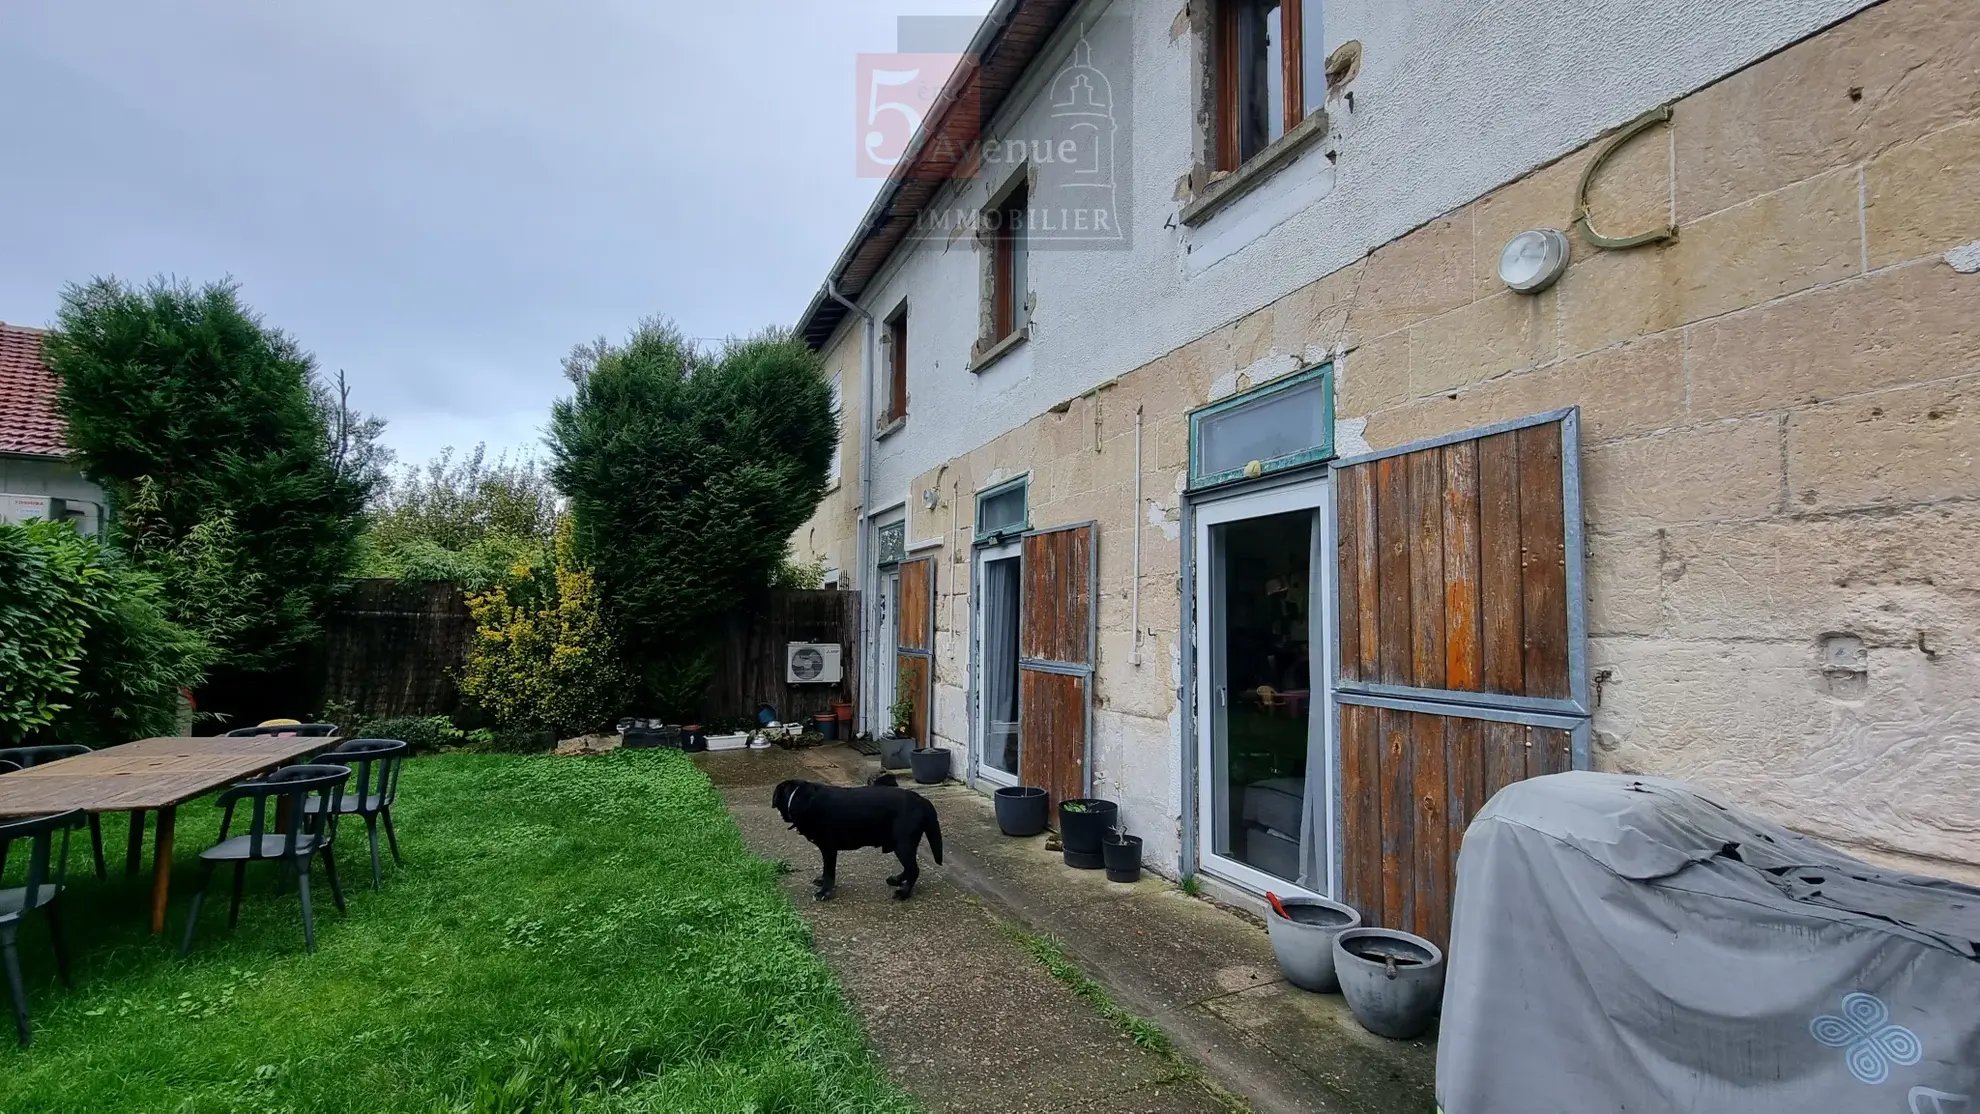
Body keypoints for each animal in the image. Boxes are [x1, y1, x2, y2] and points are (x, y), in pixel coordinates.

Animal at [772, 779, 942, 902]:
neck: (803, 800)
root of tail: (921, 800)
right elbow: (826, 870)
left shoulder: (828, 848)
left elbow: (829, 872)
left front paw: (825, 892)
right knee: (909, 868)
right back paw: (897, 879)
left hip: (903, 845)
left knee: (914, 869)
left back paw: (904, 893)